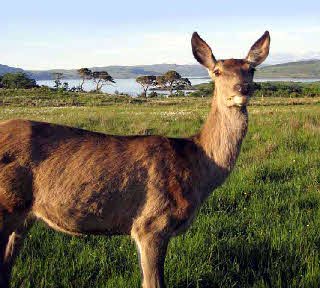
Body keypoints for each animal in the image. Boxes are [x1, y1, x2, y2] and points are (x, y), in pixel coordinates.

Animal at [0, 30, 270, 286]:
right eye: (217, 71)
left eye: (251, 69)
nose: (242, 89)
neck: (197, 167)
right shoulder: (151, 223)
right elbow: (153, 282)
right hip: (6, 205)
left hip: (23, 217)